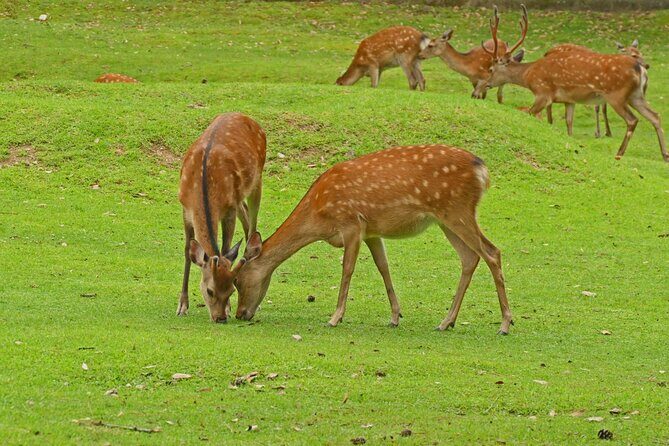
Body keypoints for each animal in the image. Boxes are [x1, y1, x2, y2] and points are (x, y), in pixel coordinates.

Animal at [178, 113, 266, 322]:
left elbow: (225, 249)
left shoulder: (228, 211)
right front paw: (182, 305)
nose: (220, 318)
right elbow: (187, 251)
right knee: (246, 215)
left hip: (257, 179)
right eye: (210, 291)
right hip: (239, 196)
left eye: (231, 290)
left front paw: (228, 307)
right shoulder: (185, 209)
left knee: (252, 226)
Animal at [234, 144, 513, 335]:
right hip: (446, 219)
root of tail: (482, 170)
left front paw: (335, 317)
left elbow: (347, 269)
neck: (318, 214)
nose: (240, 314)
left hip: (457, 210)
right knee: (470, 257)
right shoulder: (372, 232)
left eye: (237, 279)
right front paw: (395, 316)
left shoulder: (351, 224)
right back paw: (446, 321)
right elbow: (383, 267)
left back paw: (505, 323)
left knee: (492, 252)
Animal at [473, 6, 667, 162]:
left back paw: (619, 153)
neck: (530, 76)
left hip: (617, 95)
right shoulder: (569, 100)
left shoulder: (543, 93)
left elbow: (530, 113)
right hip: (636, 95)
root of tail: (640, 68)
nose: (481, 88)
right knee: (655, 116)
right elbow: (569, 124)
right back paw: (665, 155)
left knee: (633, 120)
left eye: (491, 69)